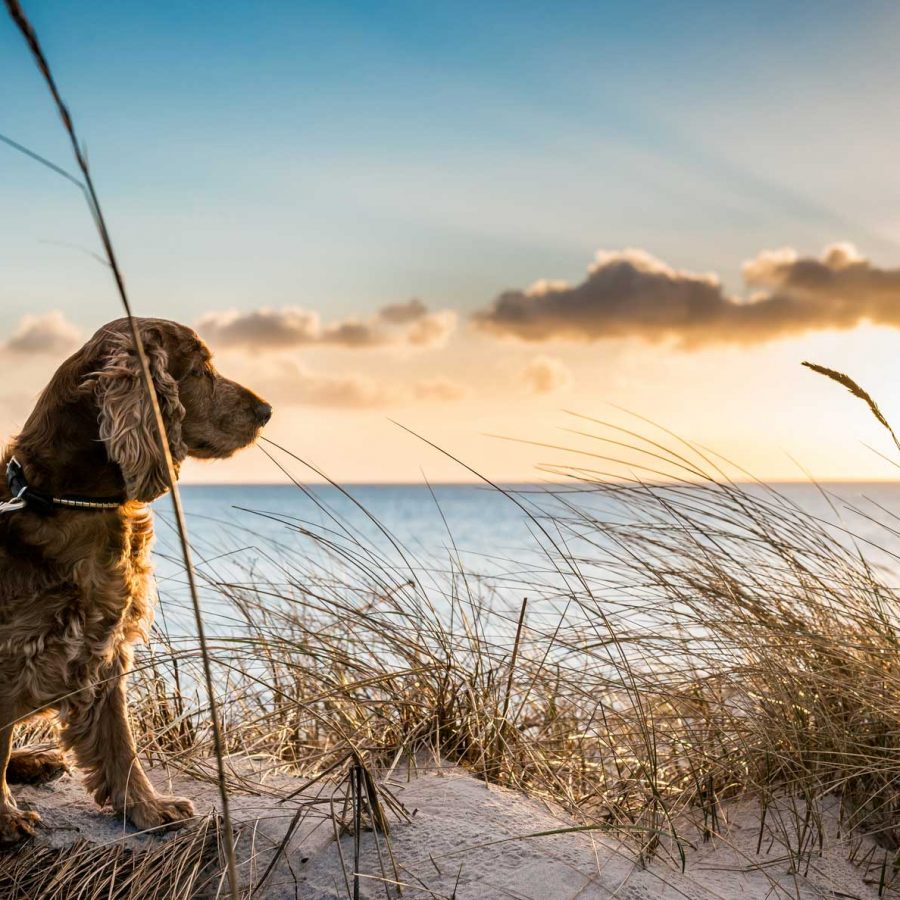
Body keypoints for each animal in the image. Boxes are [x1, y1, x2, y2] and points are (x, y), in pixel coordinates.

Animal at [0, 318, 270, 844]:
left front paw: (146, 807)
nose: (266, 411)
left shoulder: (103, 643)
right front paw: (3, 817)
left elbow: (119, 741)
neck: (61, 499)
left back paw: (35, 760)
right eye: (201, 369)